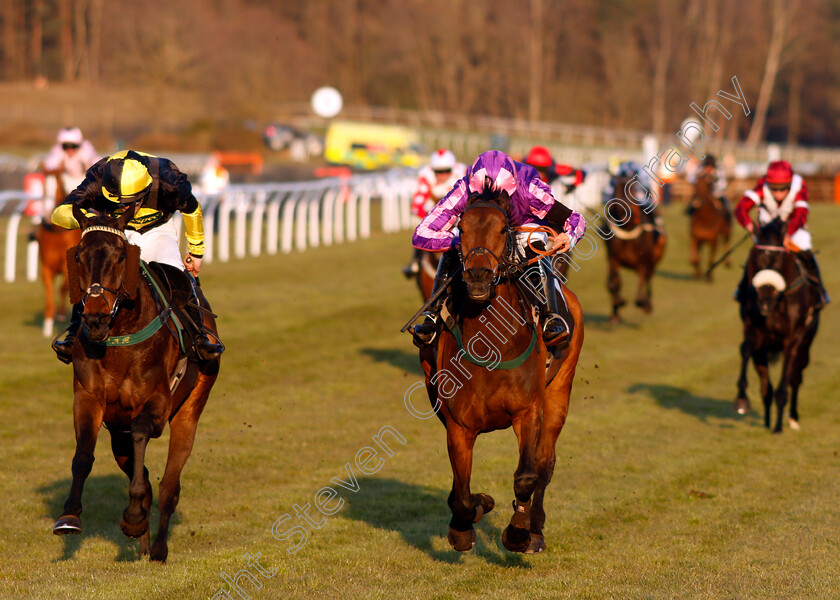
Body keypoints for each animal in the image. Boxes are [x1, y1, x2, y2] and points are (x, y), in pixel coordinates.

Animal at [37, 171, 81, 336]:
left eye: (58, 186)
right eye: (43, 186)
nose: (46, 214)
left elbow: (63, 287)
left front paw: (62, 315)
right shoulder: (46, 267)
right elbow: (49, 293)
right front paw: (48, 324)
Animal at [53, 206, 220, 564]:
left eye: (119, 257)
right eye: (79, 257)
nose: (95, 318)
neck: (119, 336)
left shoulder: (157, 402)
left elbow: (143, 434)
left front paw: (131, 519)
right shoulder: (88, 398)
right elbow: (83, 454)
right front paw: (69, 516)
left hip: (190, 409)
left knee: (170, 486)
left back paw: (157, 548)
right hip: (118, 433)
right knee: (143, 476)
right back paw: (142, 537)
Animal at [418, 190, 584, 556]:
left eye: (502, 228)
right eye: (461, 229)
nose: (478, 276)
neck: (489, 346)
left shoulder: (528, 411)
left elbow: (527, 475)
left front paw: (518, 533)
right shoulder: (458, 423)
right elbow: (463, 494)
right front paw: (467, 521)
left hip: (560, 390)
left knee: (545, 462)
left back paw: (535, 528)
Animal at [600, 175, 668, 322]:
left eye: (632, 189)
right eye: (614, 188)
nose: (620, 209)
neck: (628, 231)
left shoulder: (644, 261)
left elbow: (642, 286)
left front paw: (644, 303)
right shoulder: (613, 259)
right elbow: (612, 283)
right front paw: (618, 303)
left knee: (648, 280)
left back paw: (648, 304)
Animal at [736, 219, 820, 432]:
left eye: (780, 259)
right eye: (756, 259)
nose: (765, 301)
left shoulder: (793, 339)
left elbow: (785, 384)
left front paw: (778, 428)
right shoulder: (754, 331)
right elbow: (746, 349)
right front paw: (741, 400)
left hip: (806, 343)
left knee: (796, 377)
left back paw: (792, 418)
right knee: (766, 387)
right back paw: (767, 421)